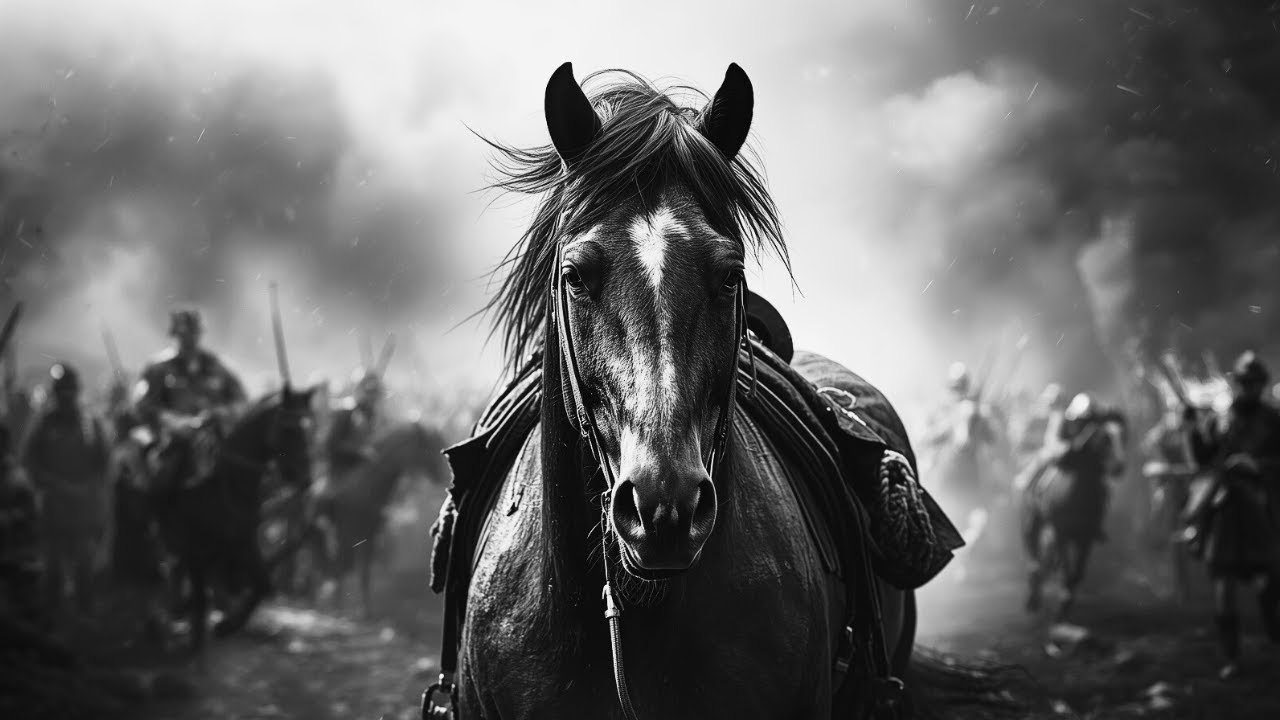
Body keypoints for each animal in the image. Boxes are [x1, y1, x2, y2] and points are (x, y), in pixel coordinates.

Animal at [147, 385, 316, 655]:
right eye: (288, 429)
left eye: (310, 427)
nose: (305, 479)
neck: (226, 488)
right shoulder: (197, 551)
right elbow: (200, 603)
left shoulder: (242, 544)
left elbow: (263, 583)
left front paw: (226, 625)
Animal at [310, 419, 449, 617]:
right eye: (428, 447)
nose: (445, 477)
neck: (367, 486)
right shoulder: (345, 533)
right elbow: (342, 566)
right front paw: (339, 607)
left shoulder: (370, 535)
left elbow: (364, 572)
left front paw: (365, 610)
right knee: (323, 561)